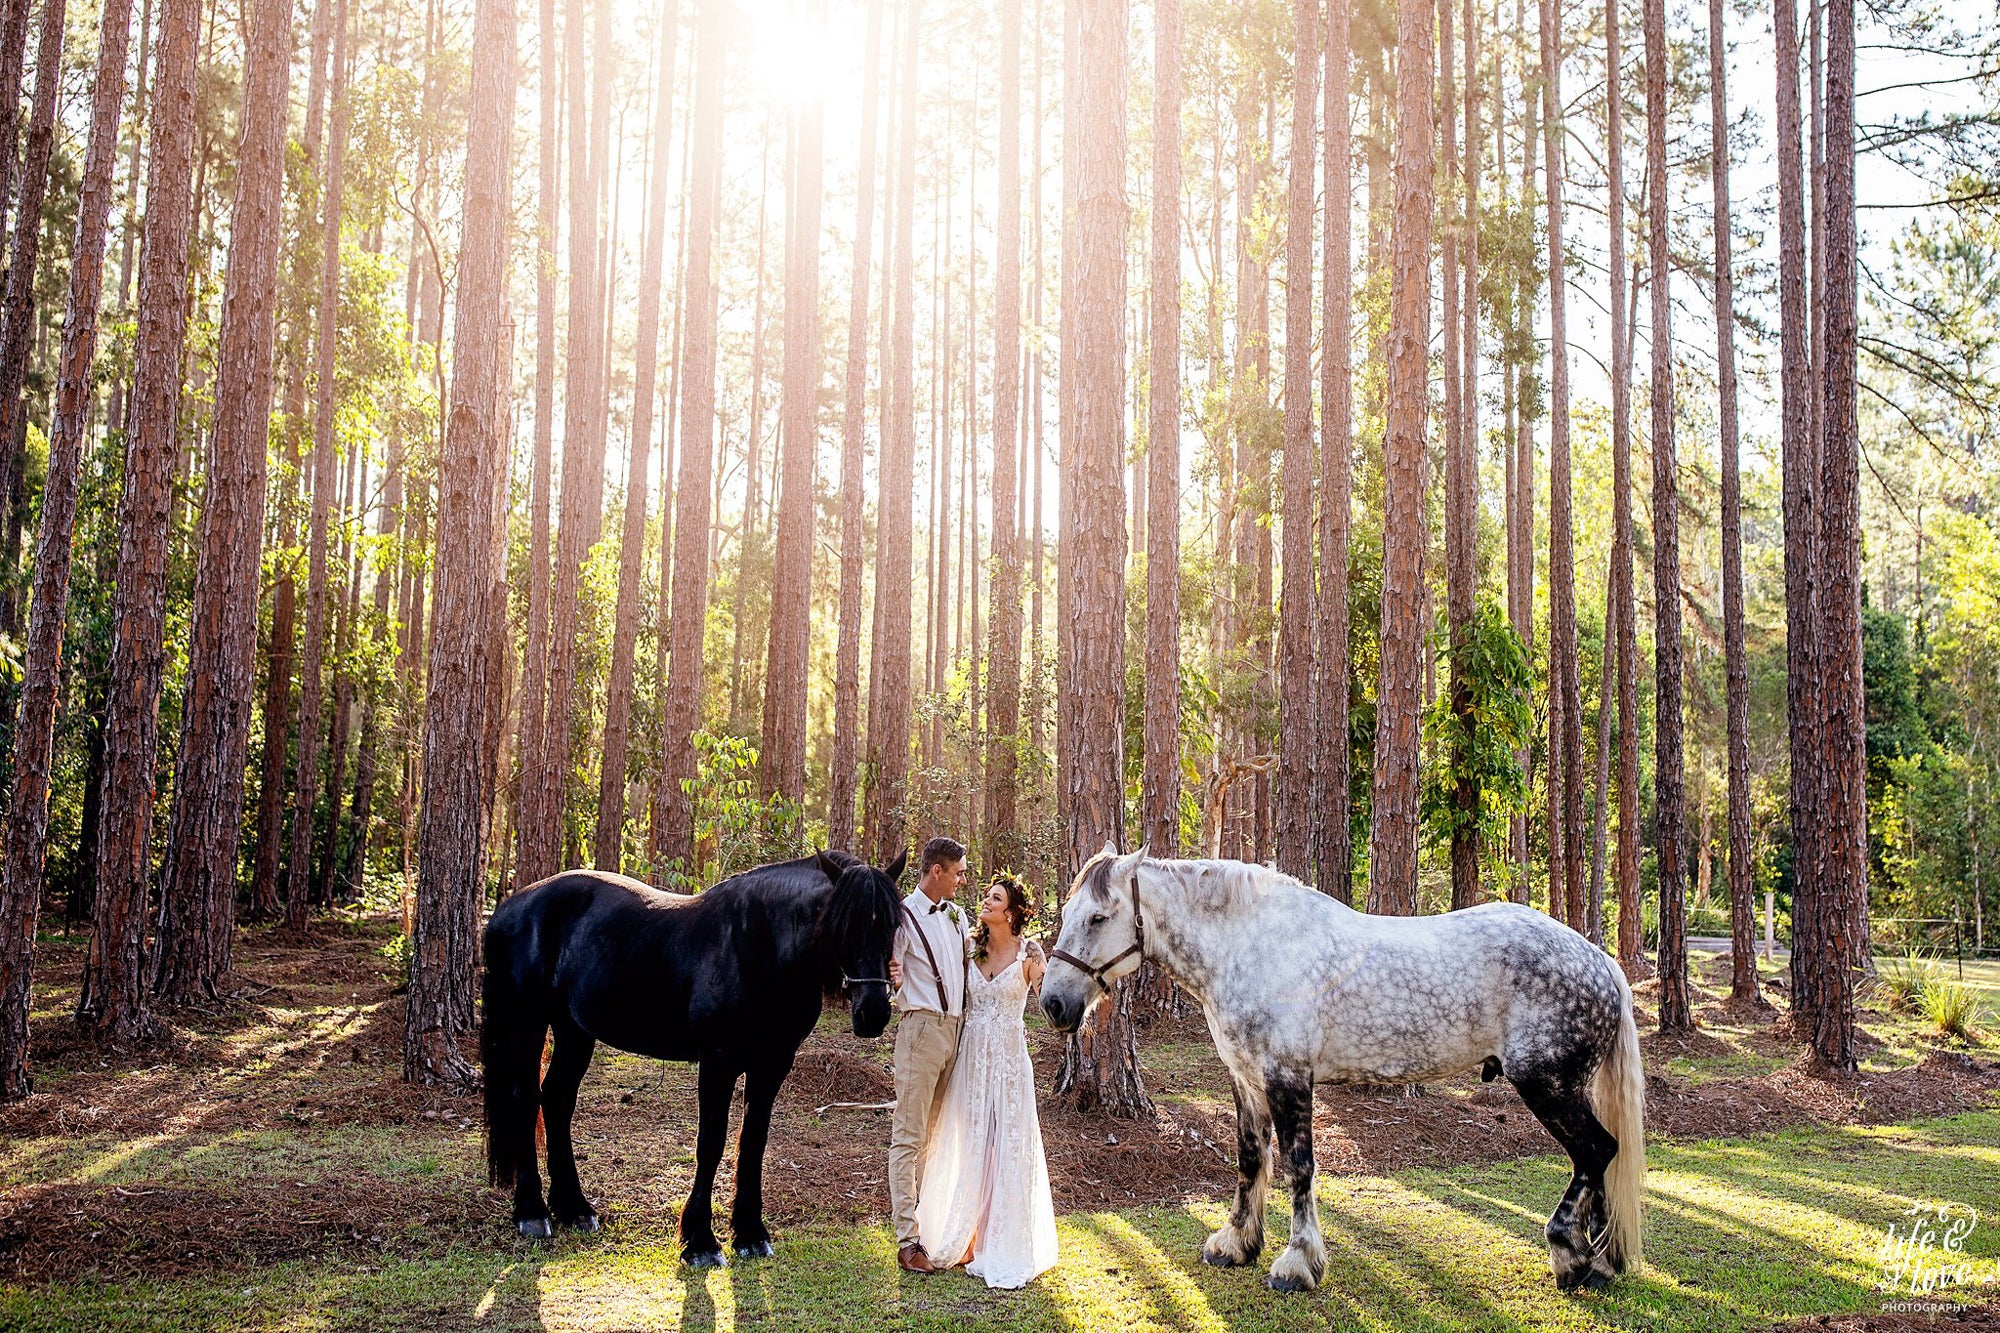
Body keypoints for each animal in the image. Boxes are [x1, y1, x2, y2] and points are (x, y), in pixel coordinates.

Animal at [480, 844, 904, 1264]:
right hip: (529, 1023)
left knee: (556, 1100)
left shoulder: (772, 1065)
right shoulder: (718, 1062)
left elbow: (753, 1142)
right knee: (525, 1100)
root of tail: (509, 908)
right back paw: (532, 1213)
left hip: (574, 1030)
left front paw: (750, 1234)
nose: (873, 1013)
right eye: (843, 925)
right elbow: (711, 1143)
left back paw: (575, 1209)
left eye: (892, 925)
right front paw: (700, 1241)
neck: (759, 947)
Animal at [1040, 844, 1648, 1288]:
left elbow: (1299, 1167)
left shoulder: (1288, 1077)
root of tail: (1601, 962)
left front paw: (1296, 1263)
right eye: (1067, 913)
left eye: (1097, 917)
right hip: (1568, 1088)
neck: (1250, 946)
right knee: (1600, 1160)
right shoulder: (1246, 1080)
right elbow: (1250, 1160)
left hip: (1547, 1085)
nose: (1053, 1004)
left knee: (1596, 1152)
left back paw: (1570, 1254)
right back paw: (1599, 1260)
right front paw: (1236, 1244)